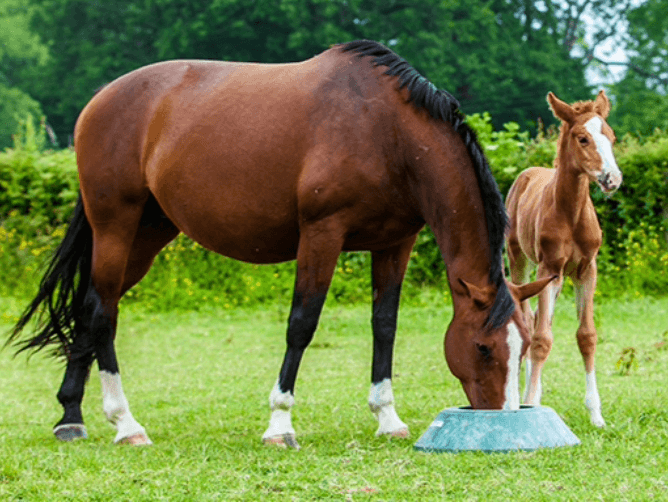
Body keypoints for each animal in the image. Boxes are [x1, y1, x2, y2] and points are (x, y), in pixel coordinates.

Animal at [8, 40, 553, 449]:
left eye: (523, 346)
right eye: (483, 348)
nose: (503, 418)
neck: (389, 135)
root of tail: (101, 100)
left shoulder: (395, 242)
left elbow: (385, 326)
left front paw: (387, 417)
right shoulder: (322, 234)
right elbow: (301, 324)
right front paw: (279, 423)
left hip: (147, 234)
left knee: (90, 305)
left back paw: (71, 417)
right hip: (115, 226)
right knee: (103, 314)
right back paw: (126, 424)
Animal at [505, 90, 622, 427]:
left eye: (611, 137)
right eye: (583, 138)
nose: (613, 179)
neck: (571, 214)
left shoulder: (587, 270)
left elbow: (587, 336)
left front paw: (596, 414)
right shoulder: (549, 268)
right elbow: (542, 339)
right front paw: (530, 403)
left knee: (536, 320)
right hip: (519, 260)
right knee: (529, 322)